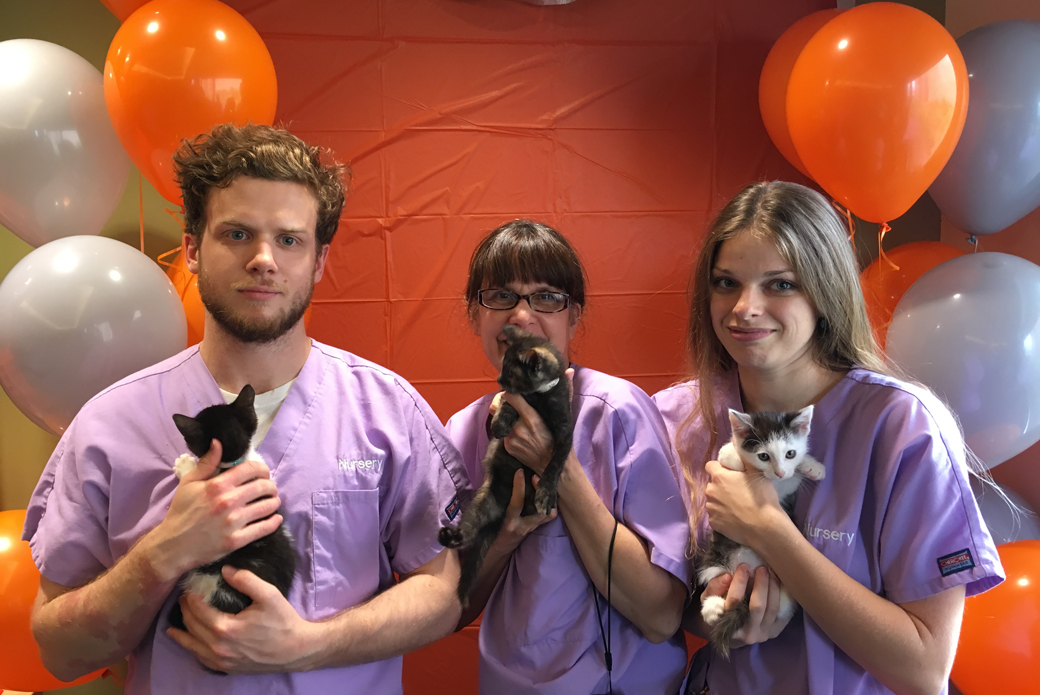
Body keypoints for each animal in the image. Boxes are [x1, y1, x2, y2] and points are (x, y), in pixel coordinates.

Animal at [436, 322, 574, 603]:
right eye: (501, 367)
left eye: (510, 372)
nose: (499, 381)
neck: (540, 396)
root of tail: (499, 515)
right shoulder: (519, 400)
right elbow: (510, 404)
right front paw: (500, 423)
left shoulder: (565, 430)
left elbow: (555, 463)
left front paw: (546, 492)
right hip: (481, 504)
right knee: (469, 530)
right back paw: (452, 536)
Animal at [694, 403, 823, 653]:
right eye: (763, 456)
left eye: (790, 453)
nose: (779, 471)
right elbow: (727, 454)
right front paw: (734, 455)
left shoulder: (785, 490)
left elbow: (792, 478)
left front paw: (811, 466)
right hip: (714, 562)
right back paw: (713, 606)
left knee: (782, 607)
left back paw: (782, 599)